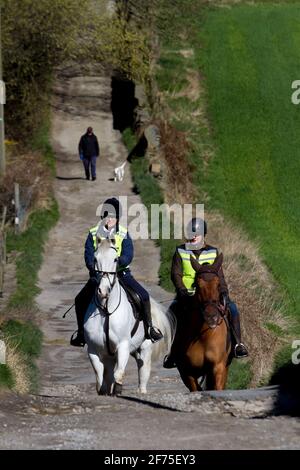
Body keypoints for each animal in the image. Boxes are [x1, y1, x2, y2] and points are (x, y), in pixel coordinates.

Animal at [175, 255, 231, 392]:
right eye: (197, 285)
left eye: (218, 284)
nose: (211, 317)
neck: (203, 337)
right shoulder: (187, 372)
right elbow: (195, 389)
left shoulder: (218, 367)